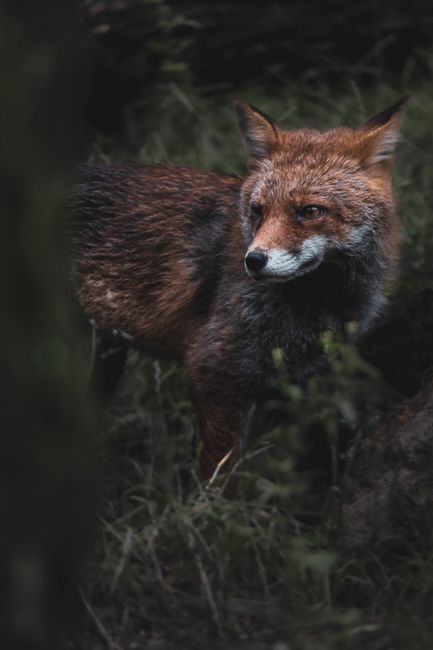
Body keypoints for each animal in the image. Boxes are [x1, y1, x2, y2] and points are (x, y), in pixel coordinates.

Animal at [70, 97, 407, 479]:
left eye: (310, 211)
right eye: (258, 211)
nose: (254, 261)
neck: (316, 306)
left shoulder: (268, 388)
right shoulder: (213, 376)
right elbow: (217, 479)